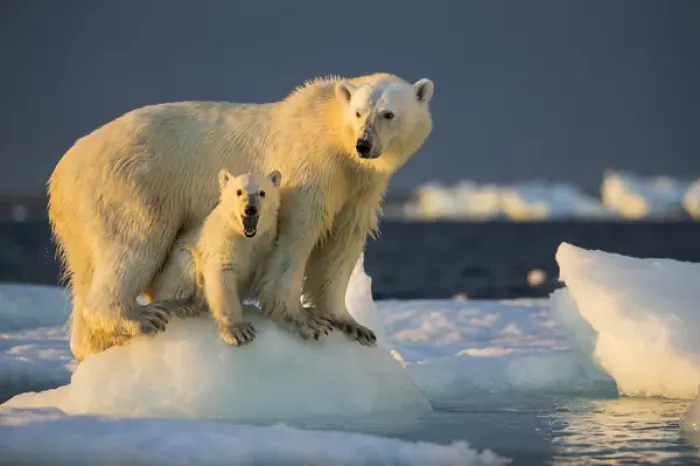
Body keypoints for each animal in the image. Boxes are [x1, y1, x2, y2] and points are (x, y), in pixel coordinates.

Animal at [142, 169, 283, 347]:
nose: (250, 209)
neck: (244, 237)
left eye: (262, 192)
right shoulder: (222, 243)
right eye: (238, 191)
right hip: (182, 259)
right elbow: (221, 278)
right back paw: (184, 306)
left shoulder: (263, 246)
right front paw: (239, 331)